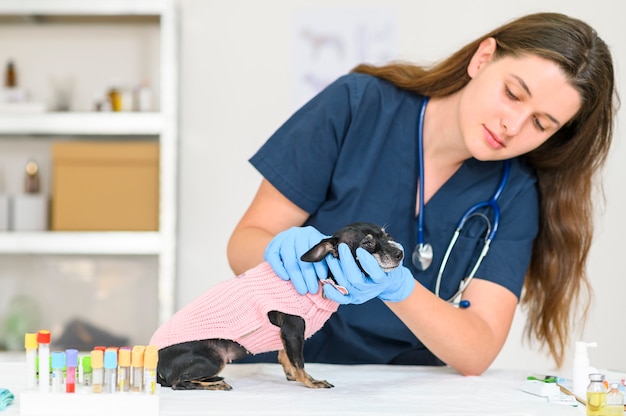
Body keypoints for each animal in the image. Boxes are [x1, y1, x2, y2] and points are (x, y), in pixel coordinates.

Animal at [152, 221, 404, 390]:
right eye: (368, 243)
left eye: (388, 235)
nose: (400, 253)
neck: (323, 279)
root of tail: (156, 363)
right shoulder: (293, 329)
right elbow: (299, 361)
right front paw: (310, 382)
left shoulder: (286, 334)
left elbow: (285, 356)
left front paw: (292, 375)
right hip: (214, 358)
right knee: (177, 383)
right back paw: (213, 384)